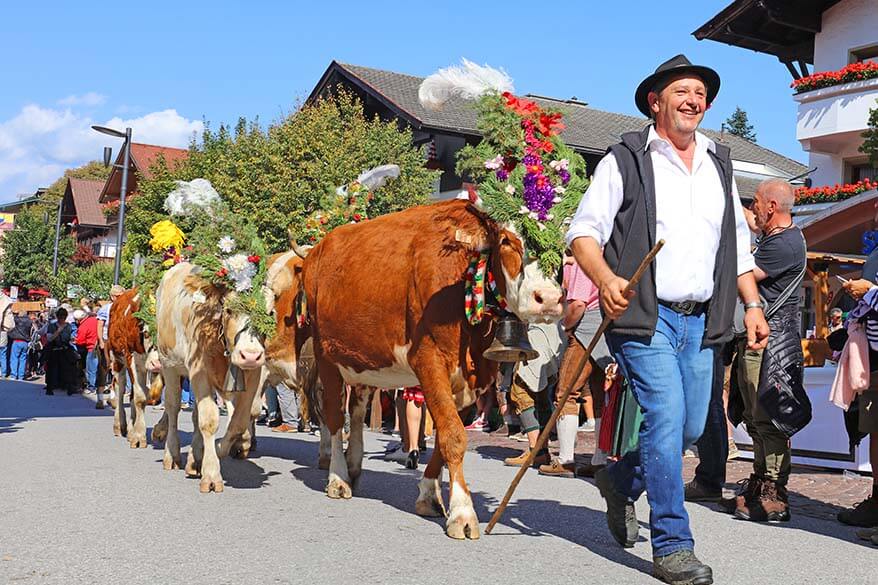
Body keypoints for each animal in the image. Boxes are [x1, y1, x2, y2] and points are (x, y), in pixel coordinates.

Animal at [107, 288, 163, 448]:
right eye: (146, 332)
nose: (157, 364)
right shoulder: (131, 358)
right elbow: (140, 398)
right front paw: (138, 436)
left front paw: (160, 431)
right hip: (117, 360)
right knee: (119, 389)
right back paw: (120, 425)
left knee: (131, 394)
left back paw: (131, 429)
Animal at [151, 262, 268, 492]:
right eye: (229, 310)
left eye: (268, 312)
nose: (250, 355)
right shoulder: (200, 370)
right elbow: (209, 420)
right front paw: (212, 474)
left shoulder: (252, 375)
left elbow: (238, 422)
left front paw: (215, 449)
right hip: (169, 364)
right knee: (173, 406)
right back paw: (172, 454)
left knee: (195, 413)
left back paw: (195, 459)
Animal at [300, 196, 568, 540]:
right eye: (507, 241)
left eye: (563, 246)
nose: (547, 299)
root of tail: (320, 247)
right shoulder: (428, 358)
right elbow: (453, 435)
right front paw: (463, 513)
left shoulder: (474, 378)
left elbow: (442, 435)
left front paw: (430, 496)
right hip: (326, 355)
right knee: (334, 417)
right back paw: (337, 477)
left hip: (362, 360)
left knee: (356, 412)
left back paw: (354, 466)